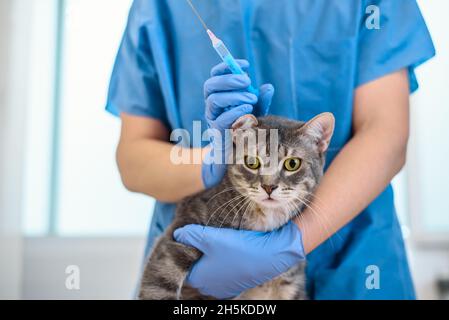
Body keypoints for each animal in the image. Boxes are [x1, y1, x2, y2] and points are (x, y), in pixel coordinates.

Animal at [138, 112, 334, 300]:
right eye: (252, 162)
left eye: (292, 164)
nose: (269, 186)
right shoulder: (177, 235)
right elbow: (159, 286)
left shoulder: (289, 284)